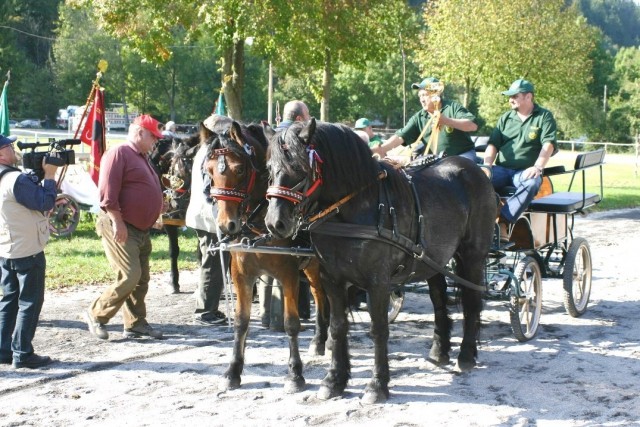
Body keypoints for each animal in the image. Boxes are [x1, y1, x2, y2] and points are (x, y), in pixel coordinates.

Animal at [150, 135, 200, 294]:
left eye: (193, 172)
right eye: (174, 174)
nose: (177, 204)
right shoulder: (168, 221)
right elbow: (173, 251)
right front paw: (174, 283)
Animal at [201, 114, 330, 394]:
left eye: (240, 169)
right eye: (209, 171)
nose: (226, 225)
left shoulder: (288, 274)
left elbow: (291, 323)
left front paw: (295, 373)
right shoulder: (241, 275)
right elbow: (241, 321)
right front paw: (233, 370)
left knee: (322, 295)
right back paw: (320, 339)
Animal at [262, 118, 498, 402]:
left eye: (299, 167)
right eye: (269, 167)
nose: (275, 223)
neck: (355, 208)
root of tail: (474, 170)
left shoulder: (378, 282)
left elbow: (378, 329)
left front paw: (377, 386)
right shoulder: (332, 279)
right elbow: (338, 326)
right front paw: (334, 380)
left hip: (472, 255)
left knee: (472, 301)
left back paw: (466, 355)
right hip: (433, 260)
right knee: (439, 300)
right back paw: (439, 351)